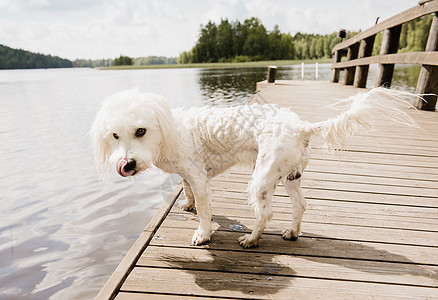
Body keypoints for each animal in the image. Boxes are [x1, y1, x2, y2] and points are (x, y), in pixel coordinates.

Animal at [89, 88, 418, 247]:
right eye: (115, 135)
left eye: (141, 131)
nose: (127, 164)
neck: (171, 130)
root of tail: (302, 126)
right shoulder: (187, 175)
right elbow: (188, 192)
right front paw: (187, 205)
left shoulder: (199, 176)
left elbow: (205, 211)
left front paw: (203, 234)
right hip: (290, 176)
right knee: (301, 205)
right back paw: (292, 233)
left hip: (262, 178)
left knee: (266, 213)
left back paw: (252, 240)